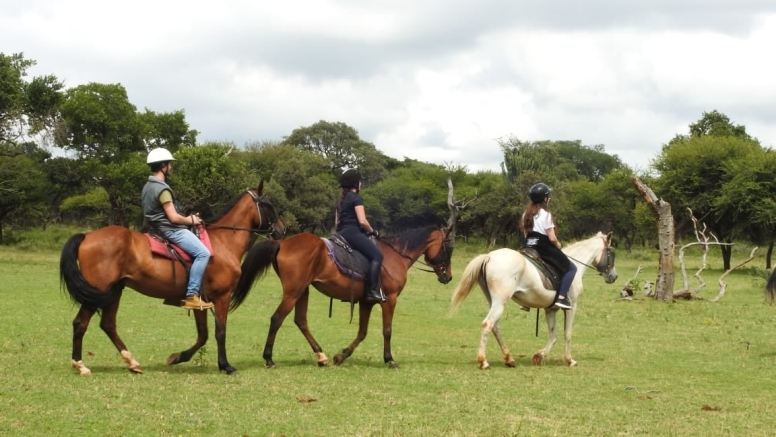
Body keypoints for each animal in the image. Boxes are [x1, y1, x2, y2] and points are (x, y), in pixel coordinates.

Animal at [59, 182, 284, 372]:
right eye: (269, 205)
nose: (282, 229)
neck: (223, 242)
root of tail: (87, 236)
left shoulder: (201, 300)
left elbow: (203, 335)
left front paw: (177, 357)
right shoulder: (222, 296)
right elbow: (220, 332)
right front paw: (225, 365)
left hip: (114, 291)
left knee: (108, 324)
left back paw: (132, 362)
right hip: (99, 290)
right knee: (80, 323)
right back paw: (80, 365)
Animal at [229, 225, 454, 368]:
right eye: (448, 249)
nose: (448, 277)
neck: (395, 255)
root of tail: (283, 243)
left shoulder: (366, 302)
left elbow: (362, 332)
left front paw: (341, 356)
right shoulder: (389, 299)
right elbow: (387, 331)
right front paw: (389, 359)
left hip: (303, 291)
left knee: (301, 321)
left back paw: (321, 356)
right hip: (293, 293)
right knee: (277, 319)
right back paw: (269, 359)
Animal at [448, 232, 620, 368]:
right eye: (611, 253)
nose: (614, 276)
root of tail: (489, 256)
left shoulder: (550, 309)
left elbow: (553, 335)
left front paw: (539, 356)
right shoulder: (572, 306)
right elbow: (567, 333)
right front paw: (569, 360)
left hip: (494, 302)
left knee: (495, 327)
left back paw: (509, 359)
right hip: (500, 302)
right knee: (487, 325)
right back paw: (483, 361)